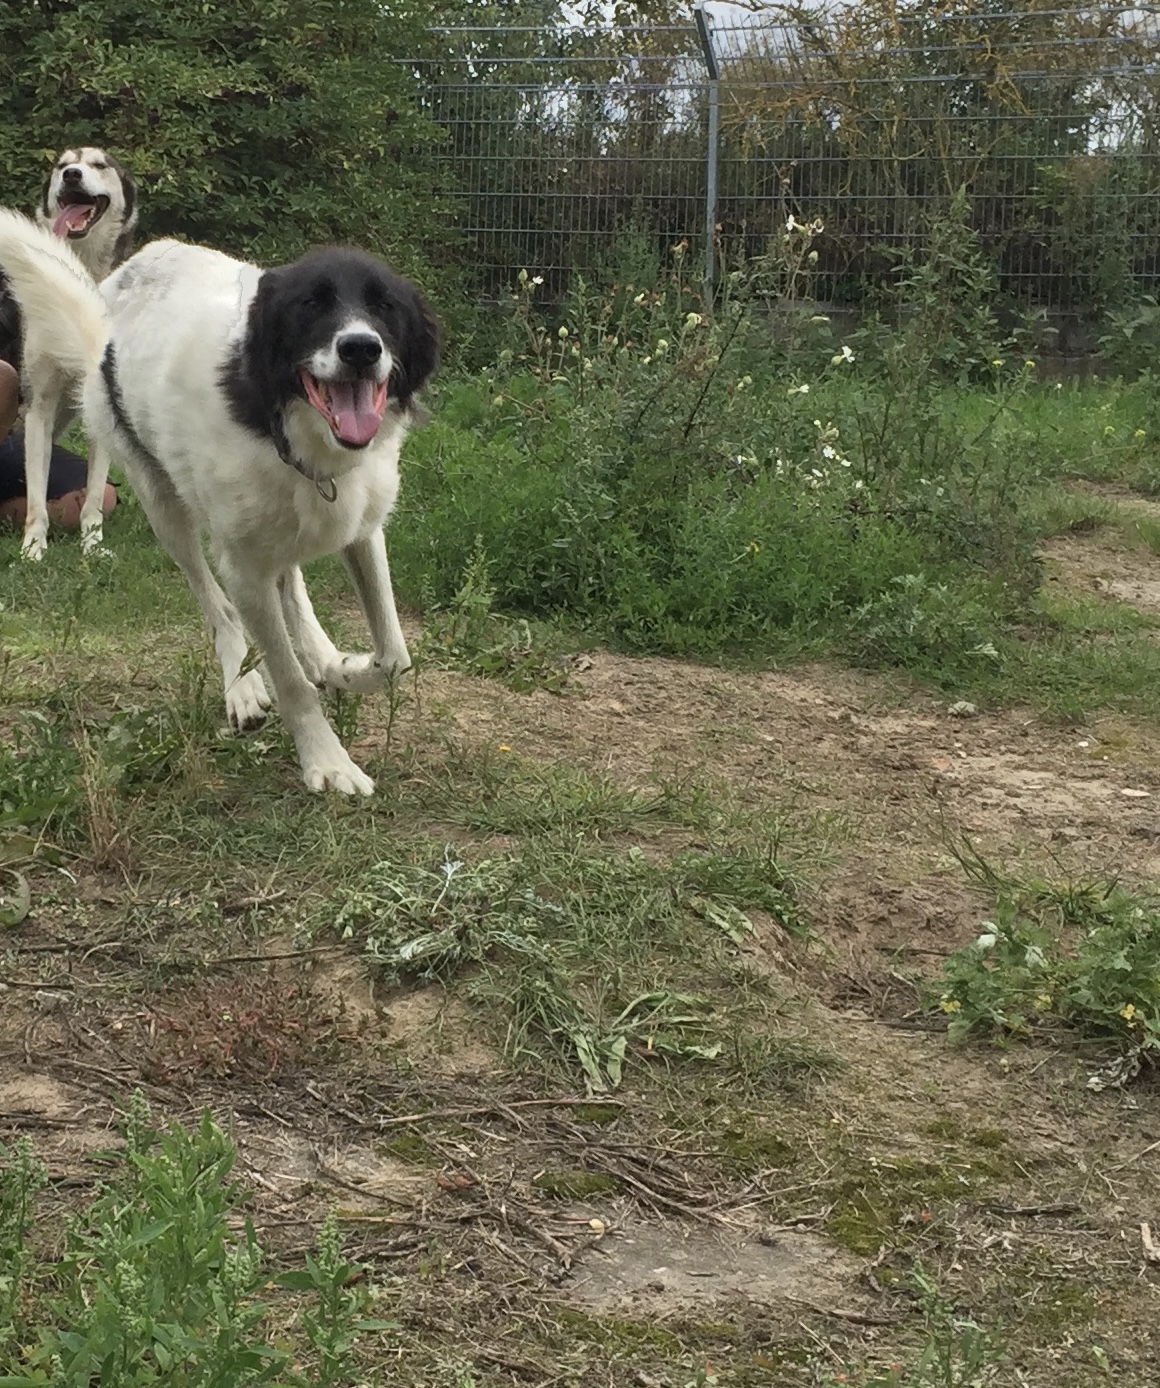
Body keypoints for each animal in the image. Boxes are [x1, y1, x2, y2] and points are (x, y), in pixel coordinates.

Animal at [83, 238, 438, 794]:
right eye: (310, 304)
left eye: (385, 306)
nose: (361, 349)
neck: (295, 439)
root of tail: (144, 256)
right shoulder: (244, 570)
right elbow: (289, 680)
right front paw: (327, 761)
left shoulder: (362, 531)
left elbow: (394, 657)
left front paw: (345, 670)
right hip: (162, 505)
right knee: (218, 606)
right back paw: (243, 687)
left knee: (290, 582)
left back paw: (322, 656)